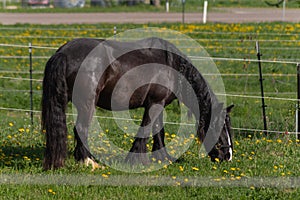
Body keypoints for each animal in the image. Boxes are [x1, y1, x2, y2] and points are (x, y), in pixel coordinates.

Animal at [41, 37, 234, 170]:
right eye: (220, 127)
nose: (228, 156)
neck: (172, 66)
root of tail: (63, 52)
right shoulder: (154, 104)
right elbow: (146, 130)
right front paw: (136, 160)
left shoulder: (158, 104)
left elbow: (158, 131)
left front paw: (162, 157)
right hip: (87, 104)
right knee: (81, 129)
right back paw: (88, 162)